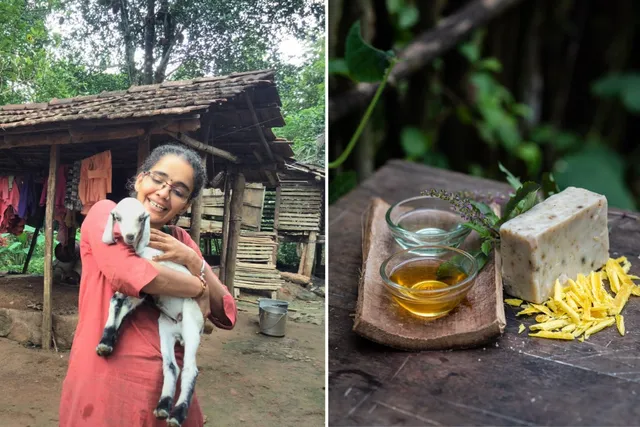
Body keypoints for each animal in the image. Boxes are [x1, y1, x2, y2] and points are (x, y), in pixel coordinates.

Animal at [97, 197, 205, 427]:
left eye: (141, 218)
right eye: (117, 217)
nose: (129, 236)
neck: (145, 250)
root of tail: (180, 332)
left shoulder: (151, 282)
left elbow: (120, 299)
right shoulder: (143, 291)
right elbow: (118, 300)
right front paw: (106, 341)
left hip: (192, 321)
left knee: (190, 369)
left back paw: (177, 415)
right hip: (164, 327)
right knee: (172, 366)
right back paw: (163, 407)